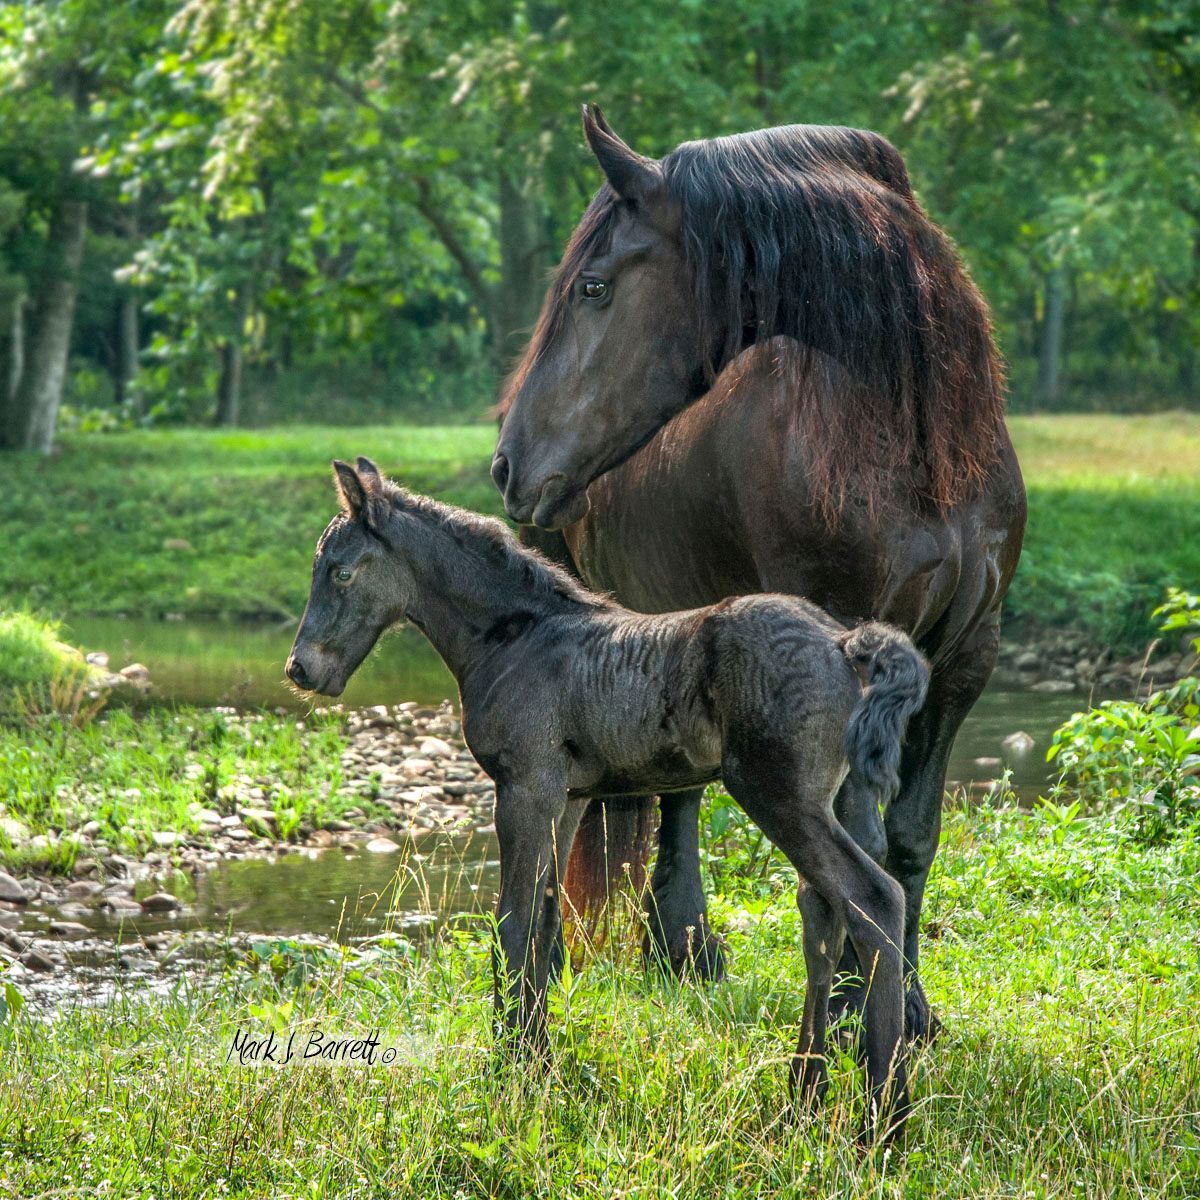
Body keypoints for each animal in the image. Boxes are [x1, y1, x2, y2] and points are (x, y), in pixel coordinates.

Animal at [286, 456, 930, 1141]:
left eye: (340, 571)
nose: (300, 670)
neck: (516, 639)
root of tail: (845, 644)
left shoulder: (525, 788)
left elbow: (513, 923)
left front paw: (508, 1071)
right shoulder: (567, 798)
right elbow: (545, 924)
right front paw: (537, 1061)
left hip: (777, 793)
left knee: (871, 898)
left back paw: (884, 1115)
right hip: (842, 801)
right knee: (825, 911)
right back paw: (805, 1095)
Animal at [492, 107, 1027, 1041]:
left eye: (594, 287)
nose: (509, 462)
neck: (913, 448)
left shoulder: (964, 659)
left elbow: (910, 838)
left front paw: (911, 1006)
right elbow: (856, 841)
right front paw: (856, 1005)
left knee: (671, 794)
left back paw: (681, 951)